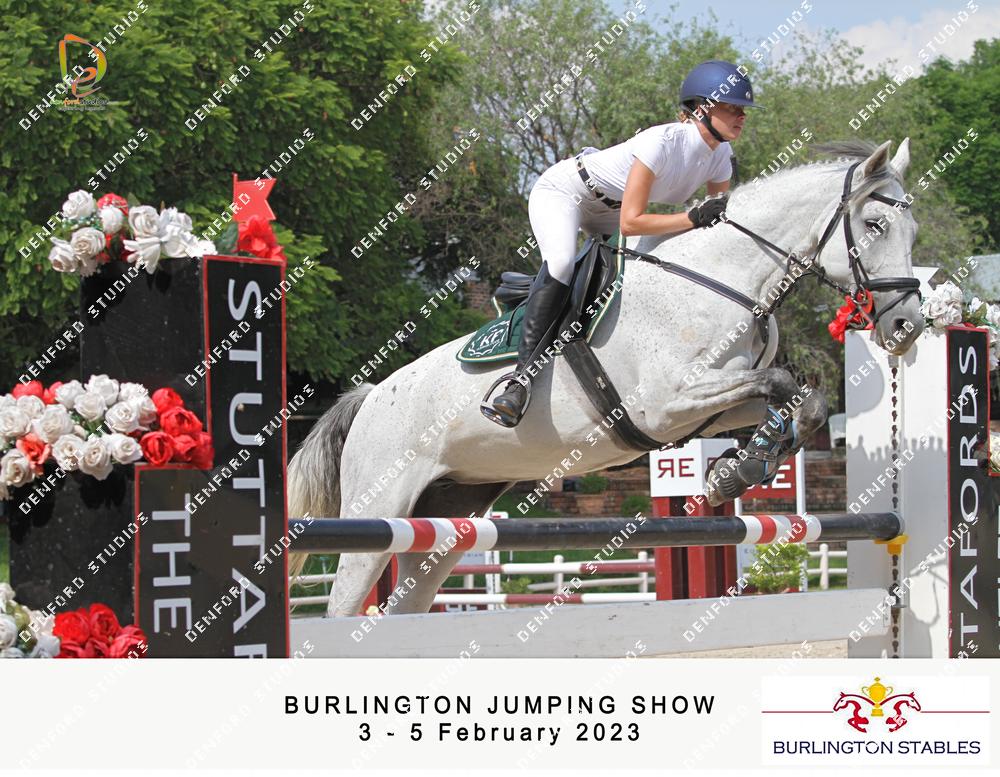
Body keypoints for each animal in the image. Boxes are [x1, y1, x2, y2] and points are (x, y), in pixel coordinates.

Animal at [288, 138, 924, 617]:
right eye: (874, 224)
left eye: (913, 232)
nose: (908, 326)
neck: (720, 279)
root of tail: (371, 397)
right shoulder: (666, 405)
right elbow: (782, 386)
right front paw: (738, 468)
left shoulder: (707, 406)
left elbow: (800, 402)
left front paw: (737, 468)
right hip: (379, 509)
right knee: (344, 604)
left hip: (446, 521)